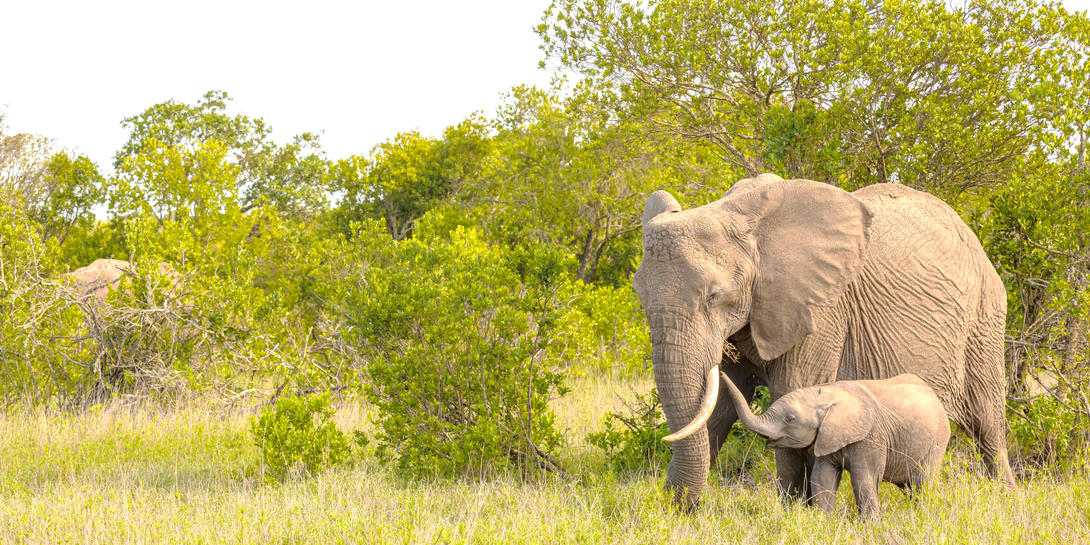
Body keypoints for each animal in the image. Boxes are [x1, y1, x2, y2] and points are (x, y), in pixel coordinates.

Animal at [723, 370, 946, 518]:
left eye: (790, 419)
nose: (721, 370)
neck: (825, 395)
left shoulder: (870, 437)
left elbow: (864, 479)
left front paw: (870, 526)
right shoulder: (826, 436)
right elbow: (823, 478)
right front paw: (822, 522)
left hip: (937, 441)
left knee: (923, 483)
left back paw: (923, 517)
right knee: (909, 487)